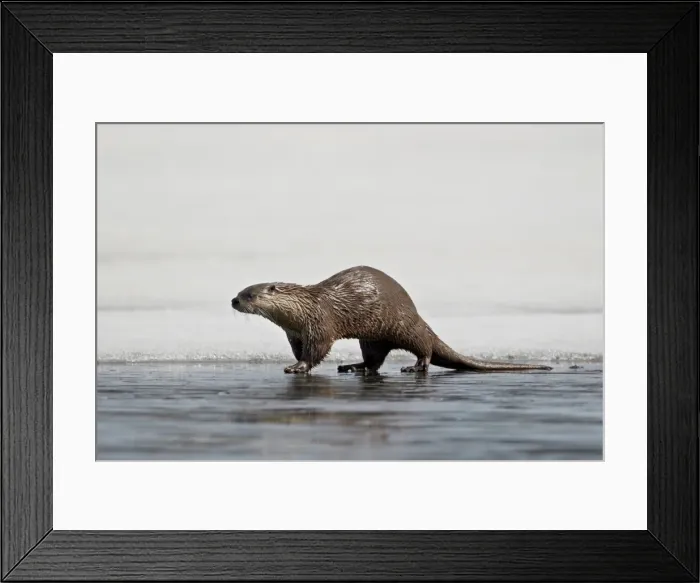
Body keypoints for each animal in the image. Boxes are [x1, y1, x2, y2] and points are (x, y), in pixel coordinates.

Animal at [231, 266, 553, 375]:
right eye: (239, 291)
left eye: (250, 294)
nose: (233, 301)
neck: (302, 310)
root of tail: (416, 313)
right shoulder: (295, 333)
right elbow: (301, 349)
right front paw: (297, 361)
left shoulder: (320, 324)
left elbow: (316, 351)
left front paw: (298, 367)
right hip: (371, 337)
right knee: (374, 360)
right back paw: (353, 366)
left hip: (402, 325)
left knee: (425, 347)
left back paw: (414, 366)